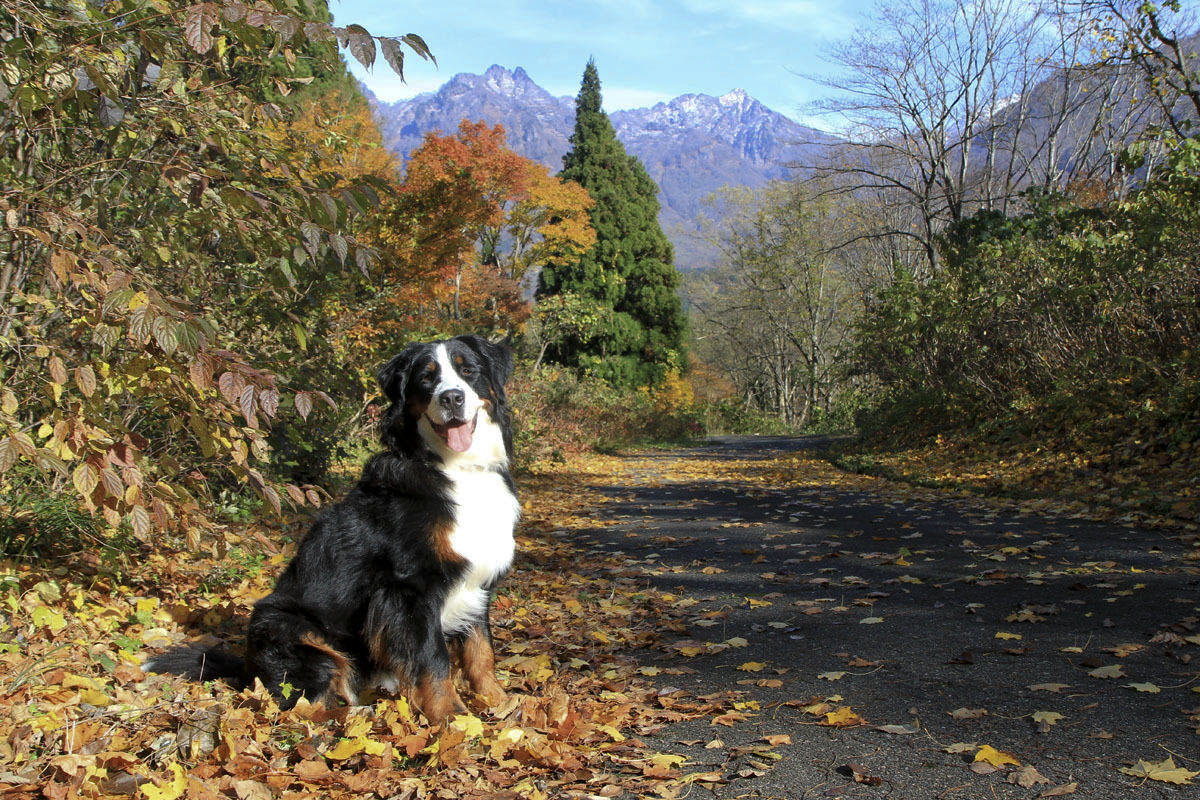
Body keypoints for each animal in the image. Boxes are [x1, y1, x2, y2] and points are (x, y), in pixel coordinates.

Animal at [144, 335, 516, 724]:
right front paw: (451, 717)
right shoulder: (411, 588)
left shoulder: (476, 582)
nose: (452, 398)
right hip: (294, 632)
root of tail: (247, 667)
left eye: (467, 371)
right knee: (304, 705)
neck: (457, 467)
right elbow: (434, 659)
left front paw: (499, 702)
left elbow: (481, 651)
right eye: (427, 379)